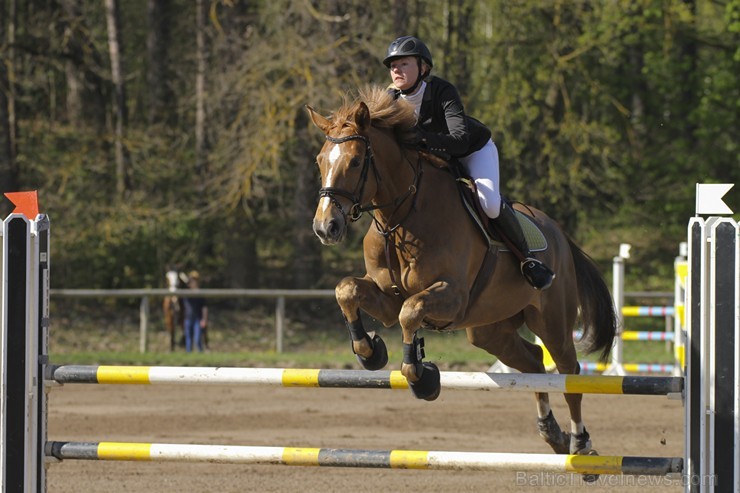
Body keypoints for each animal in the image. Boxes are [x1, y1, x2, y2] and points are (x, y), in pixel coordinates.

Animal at [306, 86, 620, 460]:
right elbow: (347, 290)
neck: (402, 217)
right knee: (532, 363)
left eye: (355, 161)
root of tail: (557, 232)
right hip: (489, 329)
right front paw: (370, 352)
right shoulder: (386, 299)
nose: (326, 227)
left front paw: (422, 379)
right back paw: (551, 433)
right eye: (320, 161)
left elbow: (410, 313)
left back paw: (580, 443)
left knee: (569, 373)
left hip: (552, 321)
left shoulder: (451, 297)